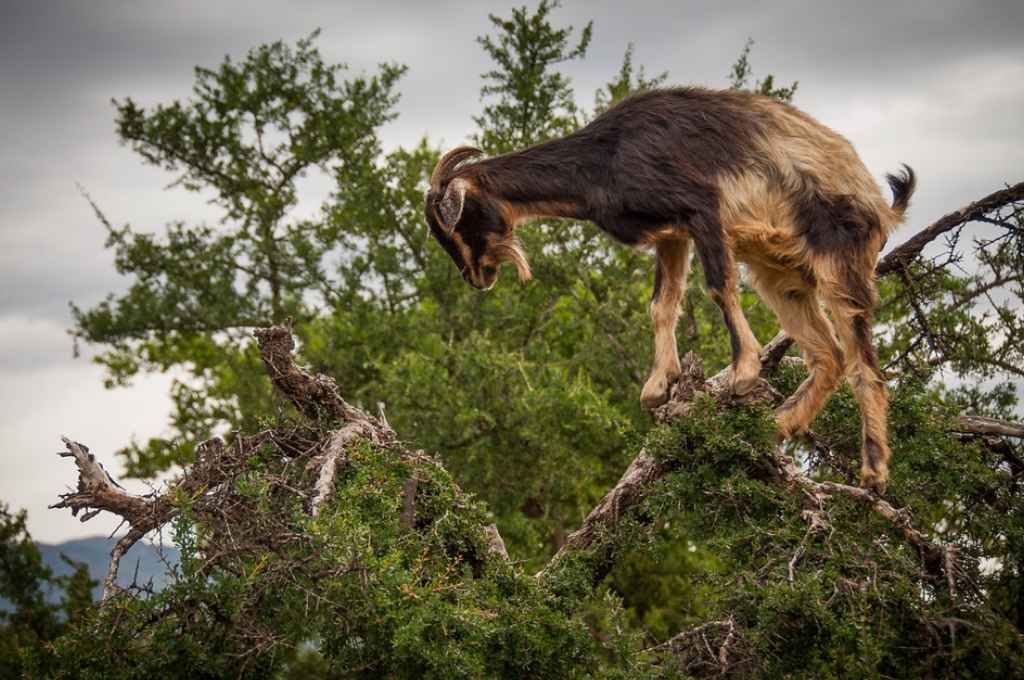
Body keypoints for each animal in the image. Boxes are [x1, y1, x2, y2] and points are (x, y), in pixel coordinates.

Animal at [424, 87, 915, 493]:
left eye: (456, 222)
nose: (476, 277)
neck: (606, 156)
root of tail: (879, 202)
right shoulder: (671, 233)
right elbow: (662, 304)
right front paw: (659, 385)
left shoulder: (701, 208)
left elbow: (719, 286)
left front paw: (743, 371)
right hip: (780, 276)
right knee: (828, 357)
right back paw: (776, 426)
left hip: (839, 262)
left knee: (863, 364)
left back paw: (873, 473)